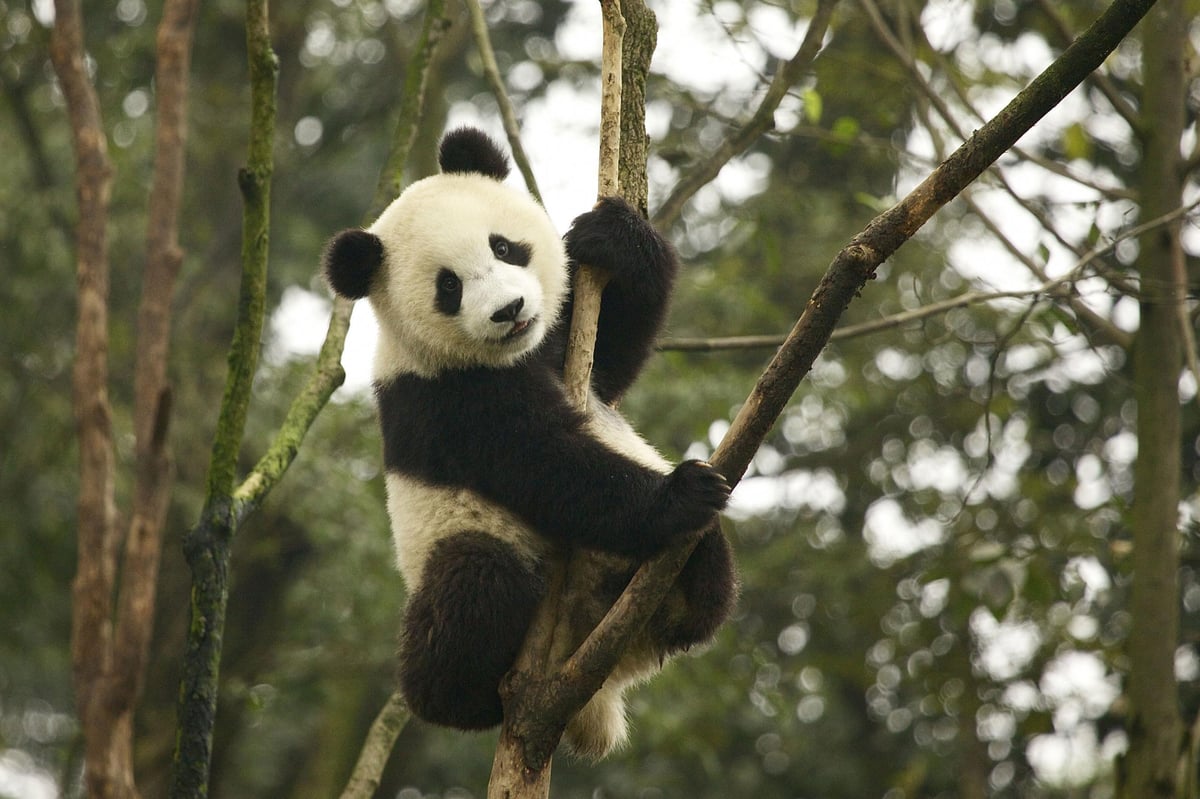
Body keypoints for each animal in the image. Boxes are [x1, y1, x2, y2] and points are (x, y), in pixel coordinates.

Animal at [323, 127, 737, 759]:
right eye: (449, 286)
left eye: (504, 248)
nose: (509, 310)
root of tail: (591, 680)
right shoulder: (446, 399)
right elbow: (544, 466)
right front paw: (679, 493)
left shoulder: (560, 343)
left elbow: (615, 354)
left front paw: (614, 238)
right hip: (459, 546)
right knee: (478, 581)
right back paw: (462, 698)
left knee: (710, 560)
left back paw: (686, 606)